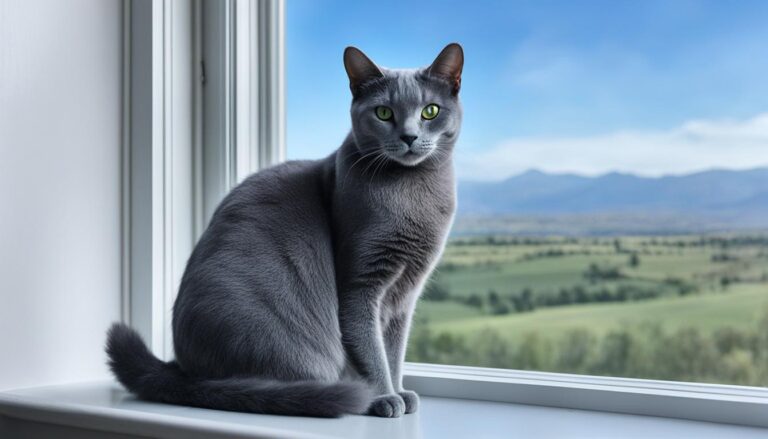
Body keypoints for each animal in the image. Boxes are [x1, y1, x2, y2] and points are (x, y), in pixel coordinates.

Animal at [106, 43, 464, 418]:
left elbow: (393, 353)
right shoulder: (360, 287)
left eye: (430, 111)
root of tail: (186, 373)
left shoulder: (404, 295)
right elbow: (370, 352)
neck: (414, 196)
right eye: (383, 112)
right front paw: (383, 397)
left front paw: (400, 391)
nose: (409, 137)